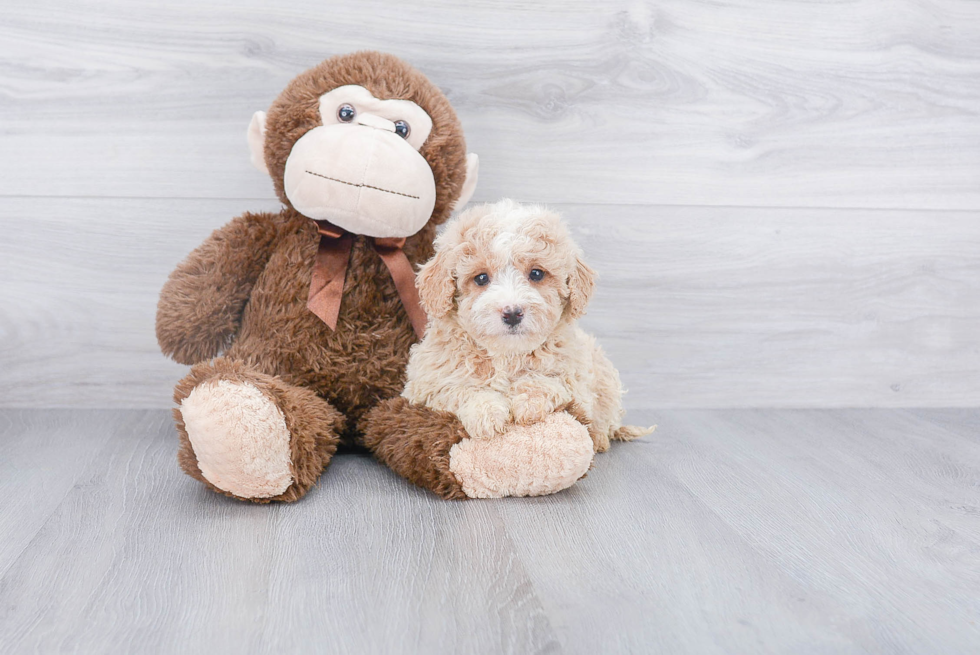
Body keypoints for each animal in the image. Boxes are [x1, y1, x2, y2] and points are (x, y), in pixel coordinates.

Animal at [402, 200, 656, 454]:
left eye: (536, 273)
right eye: (481, 278)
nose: (512, 313)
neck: (507, 354)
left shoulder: (577, 381)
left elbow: (551, 380)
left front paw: (529, 402)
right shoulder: (426, 384)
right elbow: (458, 389)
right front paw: (487, 413)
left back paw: (601, 439)